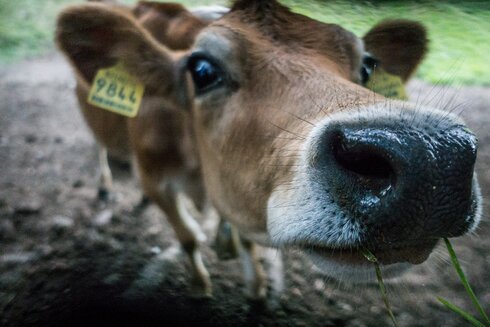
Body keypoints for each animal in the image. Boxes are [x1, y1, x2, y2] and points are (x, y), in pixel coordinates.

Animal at [55, 0, 480, 300]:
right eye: (202, 70)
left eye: (367, 67)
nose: (431, 158)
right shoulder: (155, 178)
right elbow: (187, 237)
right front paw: (201, 285)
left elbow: (242, 234)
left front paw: (256, 284)